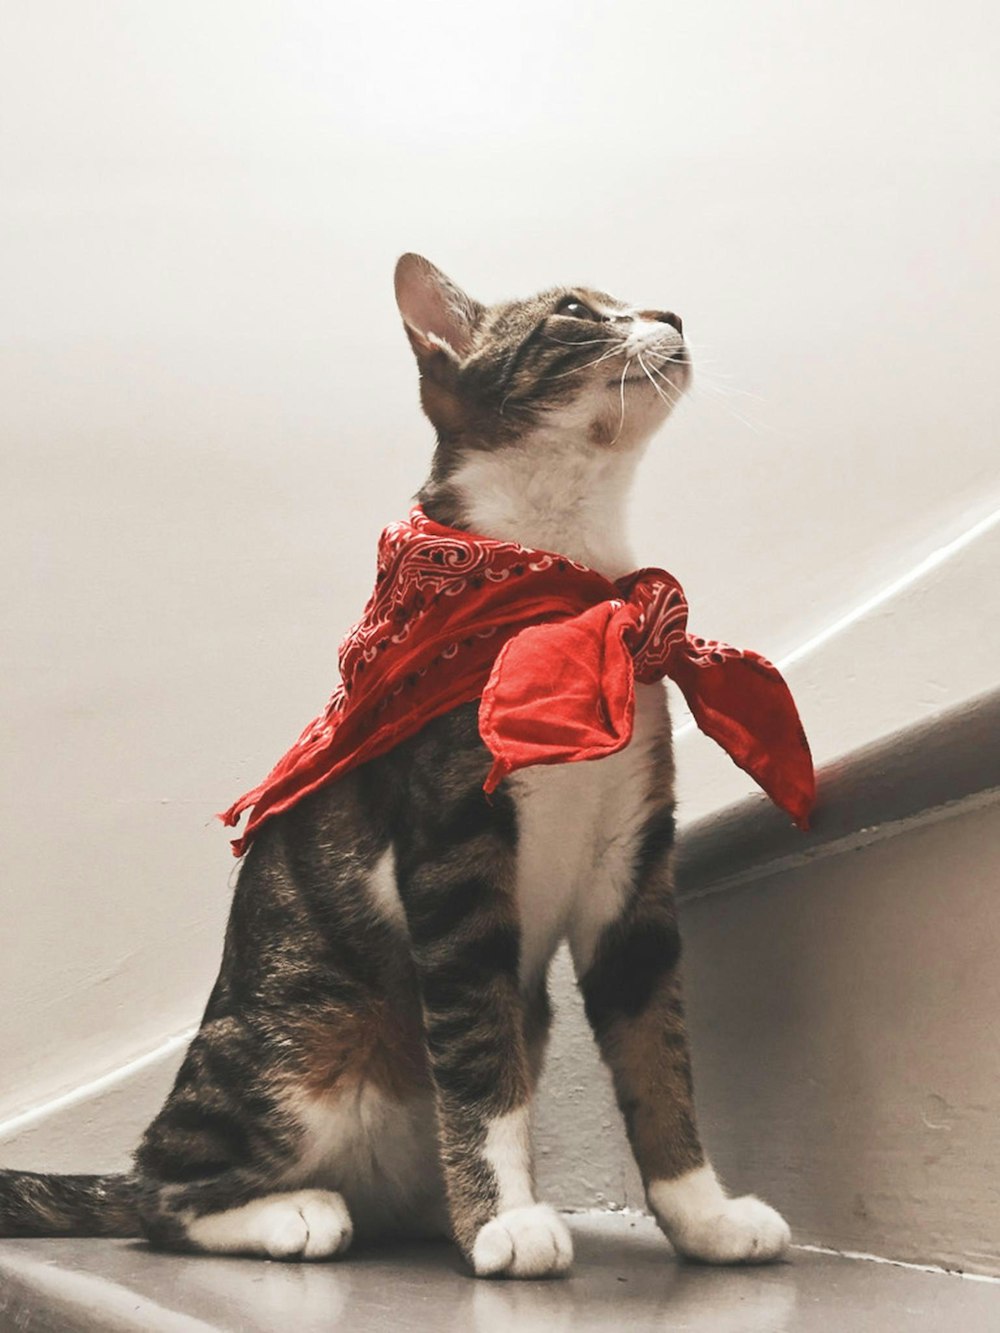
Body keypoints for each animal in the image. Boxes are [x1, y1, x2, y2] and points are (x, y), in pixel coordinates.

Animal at [0, 254, 789, 1274]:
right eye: (578, 311)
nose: (676, 314)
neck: (568, 591)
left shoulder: (634, 862)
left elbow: (658, 1051)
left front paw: (705, 1214)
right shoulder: (454, 848)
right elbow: (479, 1057)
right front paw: (506, 1219)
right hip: (302, 1038)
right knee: (161, 1192)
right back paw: (295, 1213)